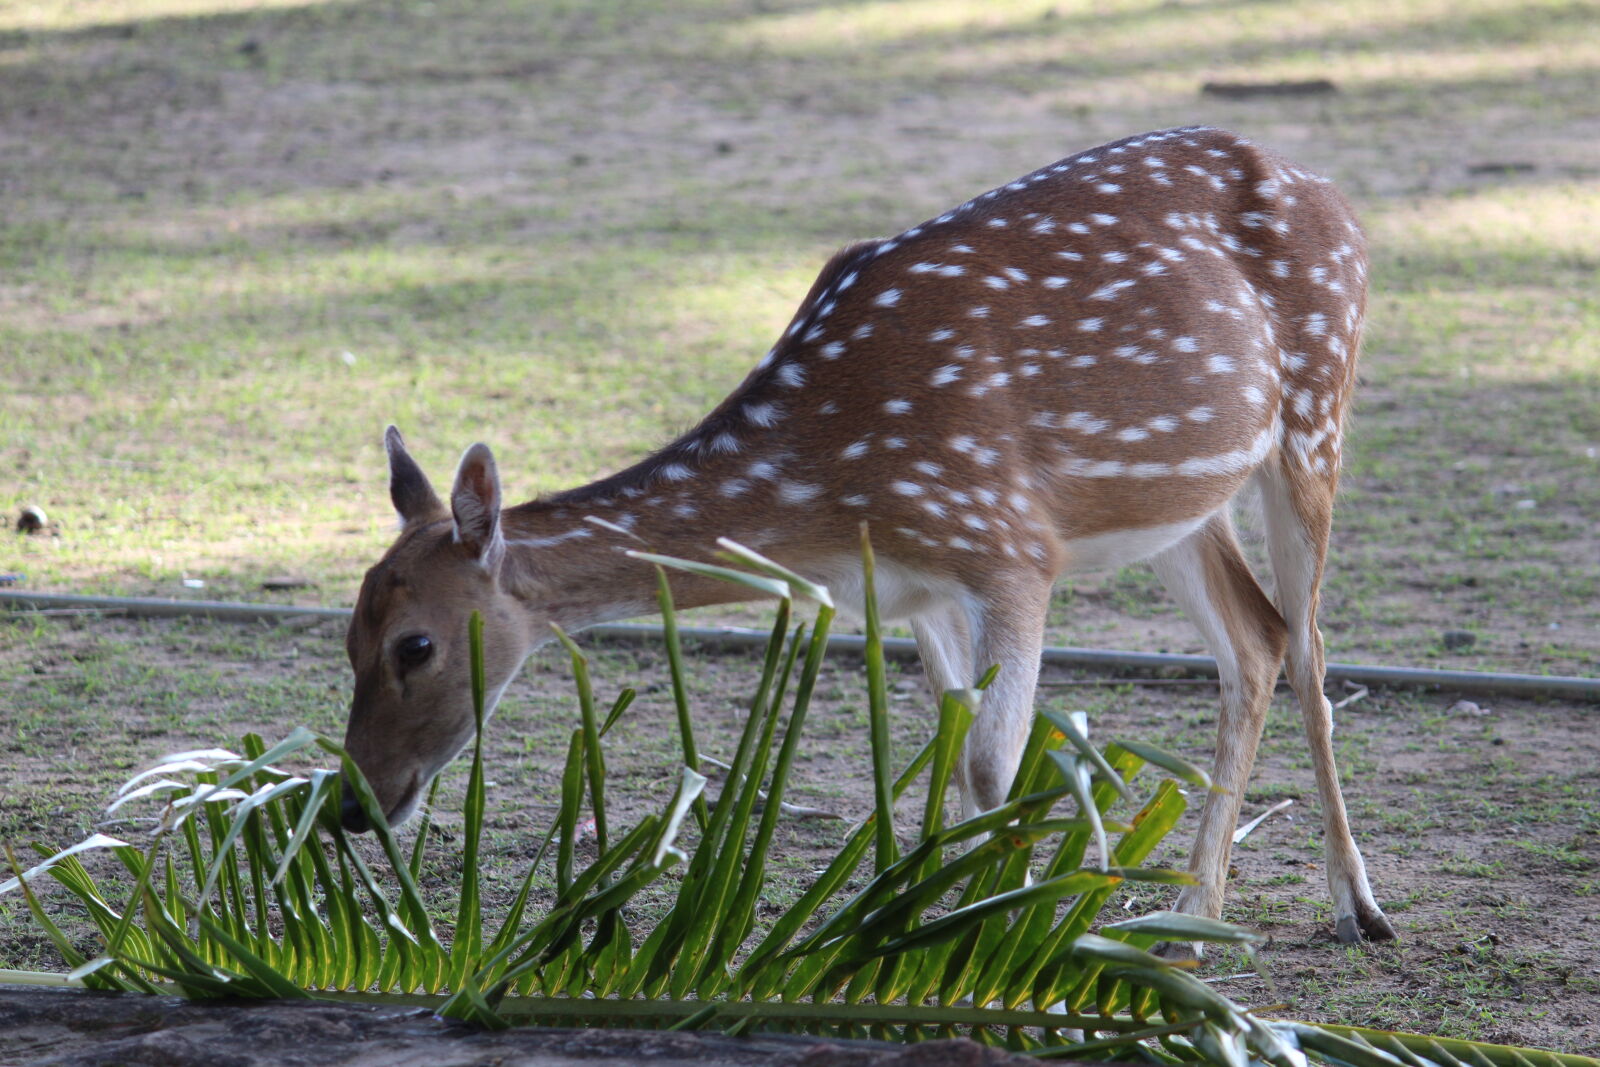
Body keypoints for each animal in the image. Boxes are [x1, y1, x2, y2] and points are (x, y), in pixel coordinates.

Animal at [340, 123, 1401, 940]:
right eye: (346, 638)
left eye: (415, 645)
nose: (353, 802)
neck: (834, 485)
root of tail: (1338, 197)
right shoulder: (906, 586)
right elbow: (957, 752)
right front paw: (950, 926)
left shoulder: (1009, 544)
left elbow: (995, 760)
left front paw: (1002, 941)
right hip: (1177, 504)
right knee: (1255, 639)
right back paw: (1195, 910)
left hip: (1316, 413)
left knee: (1307, 643)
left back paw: (1342, 908)